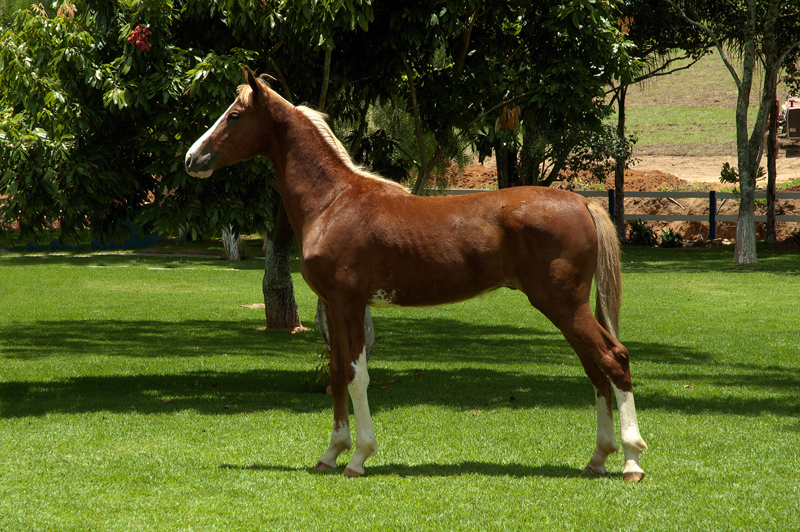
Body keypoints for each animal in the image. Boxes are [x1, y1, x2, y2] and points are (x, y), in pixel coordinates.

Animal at [185, 67, 648, 482]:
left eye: (235, 115)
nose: (192, 158)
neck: (334, 202)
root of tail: (582, 202)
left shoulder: (348, 303)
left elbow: (356, 374)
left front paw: (358, 457)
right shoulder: (335, 306)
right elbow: (335, 372)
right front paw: (331, 453)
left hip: (562, 303)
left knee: (613, 360)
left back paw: (631, 462)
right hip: (566, 308)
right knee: (595, 370)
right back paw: (598, 459)